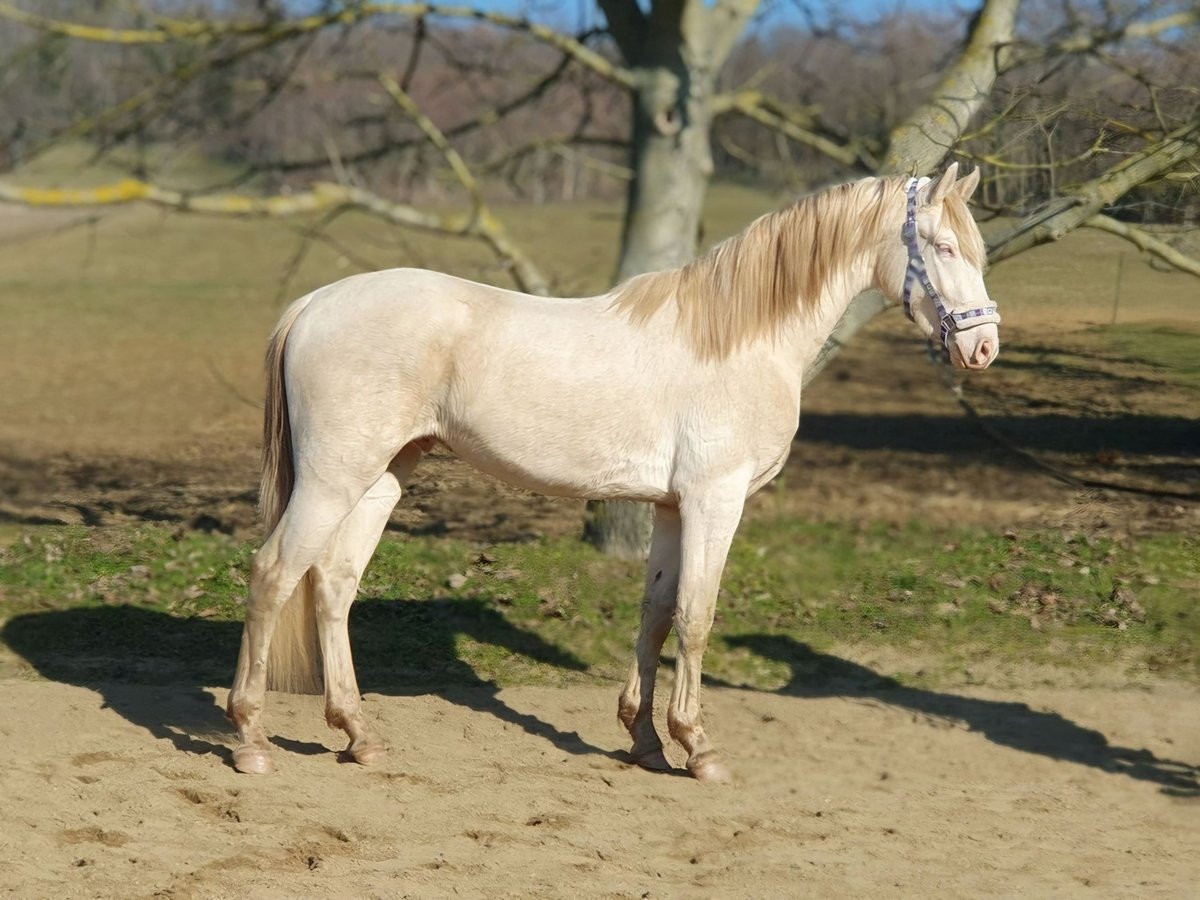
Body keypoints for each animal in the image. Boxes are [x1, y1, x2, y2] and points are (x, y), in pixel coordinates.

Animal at [226, 165, 1003, 787]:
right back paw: (252, 739)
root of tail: (315, 304)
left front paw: (646, 741)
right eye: (941, 247)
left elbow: (656, 613)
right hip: (334, 477)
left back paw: (359, 736)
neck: (741, 339)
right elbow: (696, 616)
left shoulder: (671, 507)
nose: (983, 346)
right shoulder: (715, 501)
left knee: (332, 585)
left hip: (380, 476)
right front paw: (699, 750)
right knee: (274, 574)